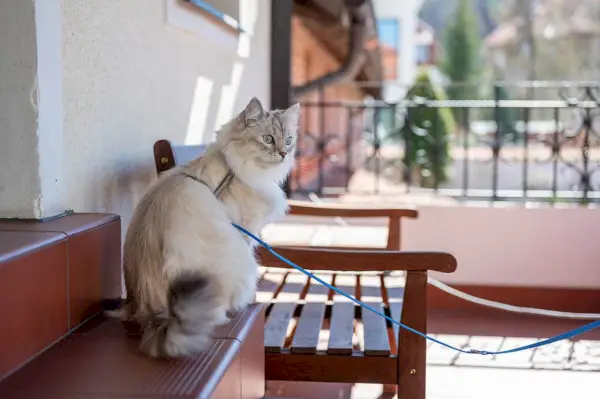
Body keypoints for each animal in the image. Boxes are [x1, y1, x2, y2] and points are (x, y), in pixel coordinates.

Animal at [109, 97, 298, 360]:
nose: (283, 153)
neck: (235, 168)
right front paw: (251, 299)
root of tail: (153, 316)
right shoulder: (245, 232)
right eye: (268, 139)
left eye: (288, 140)